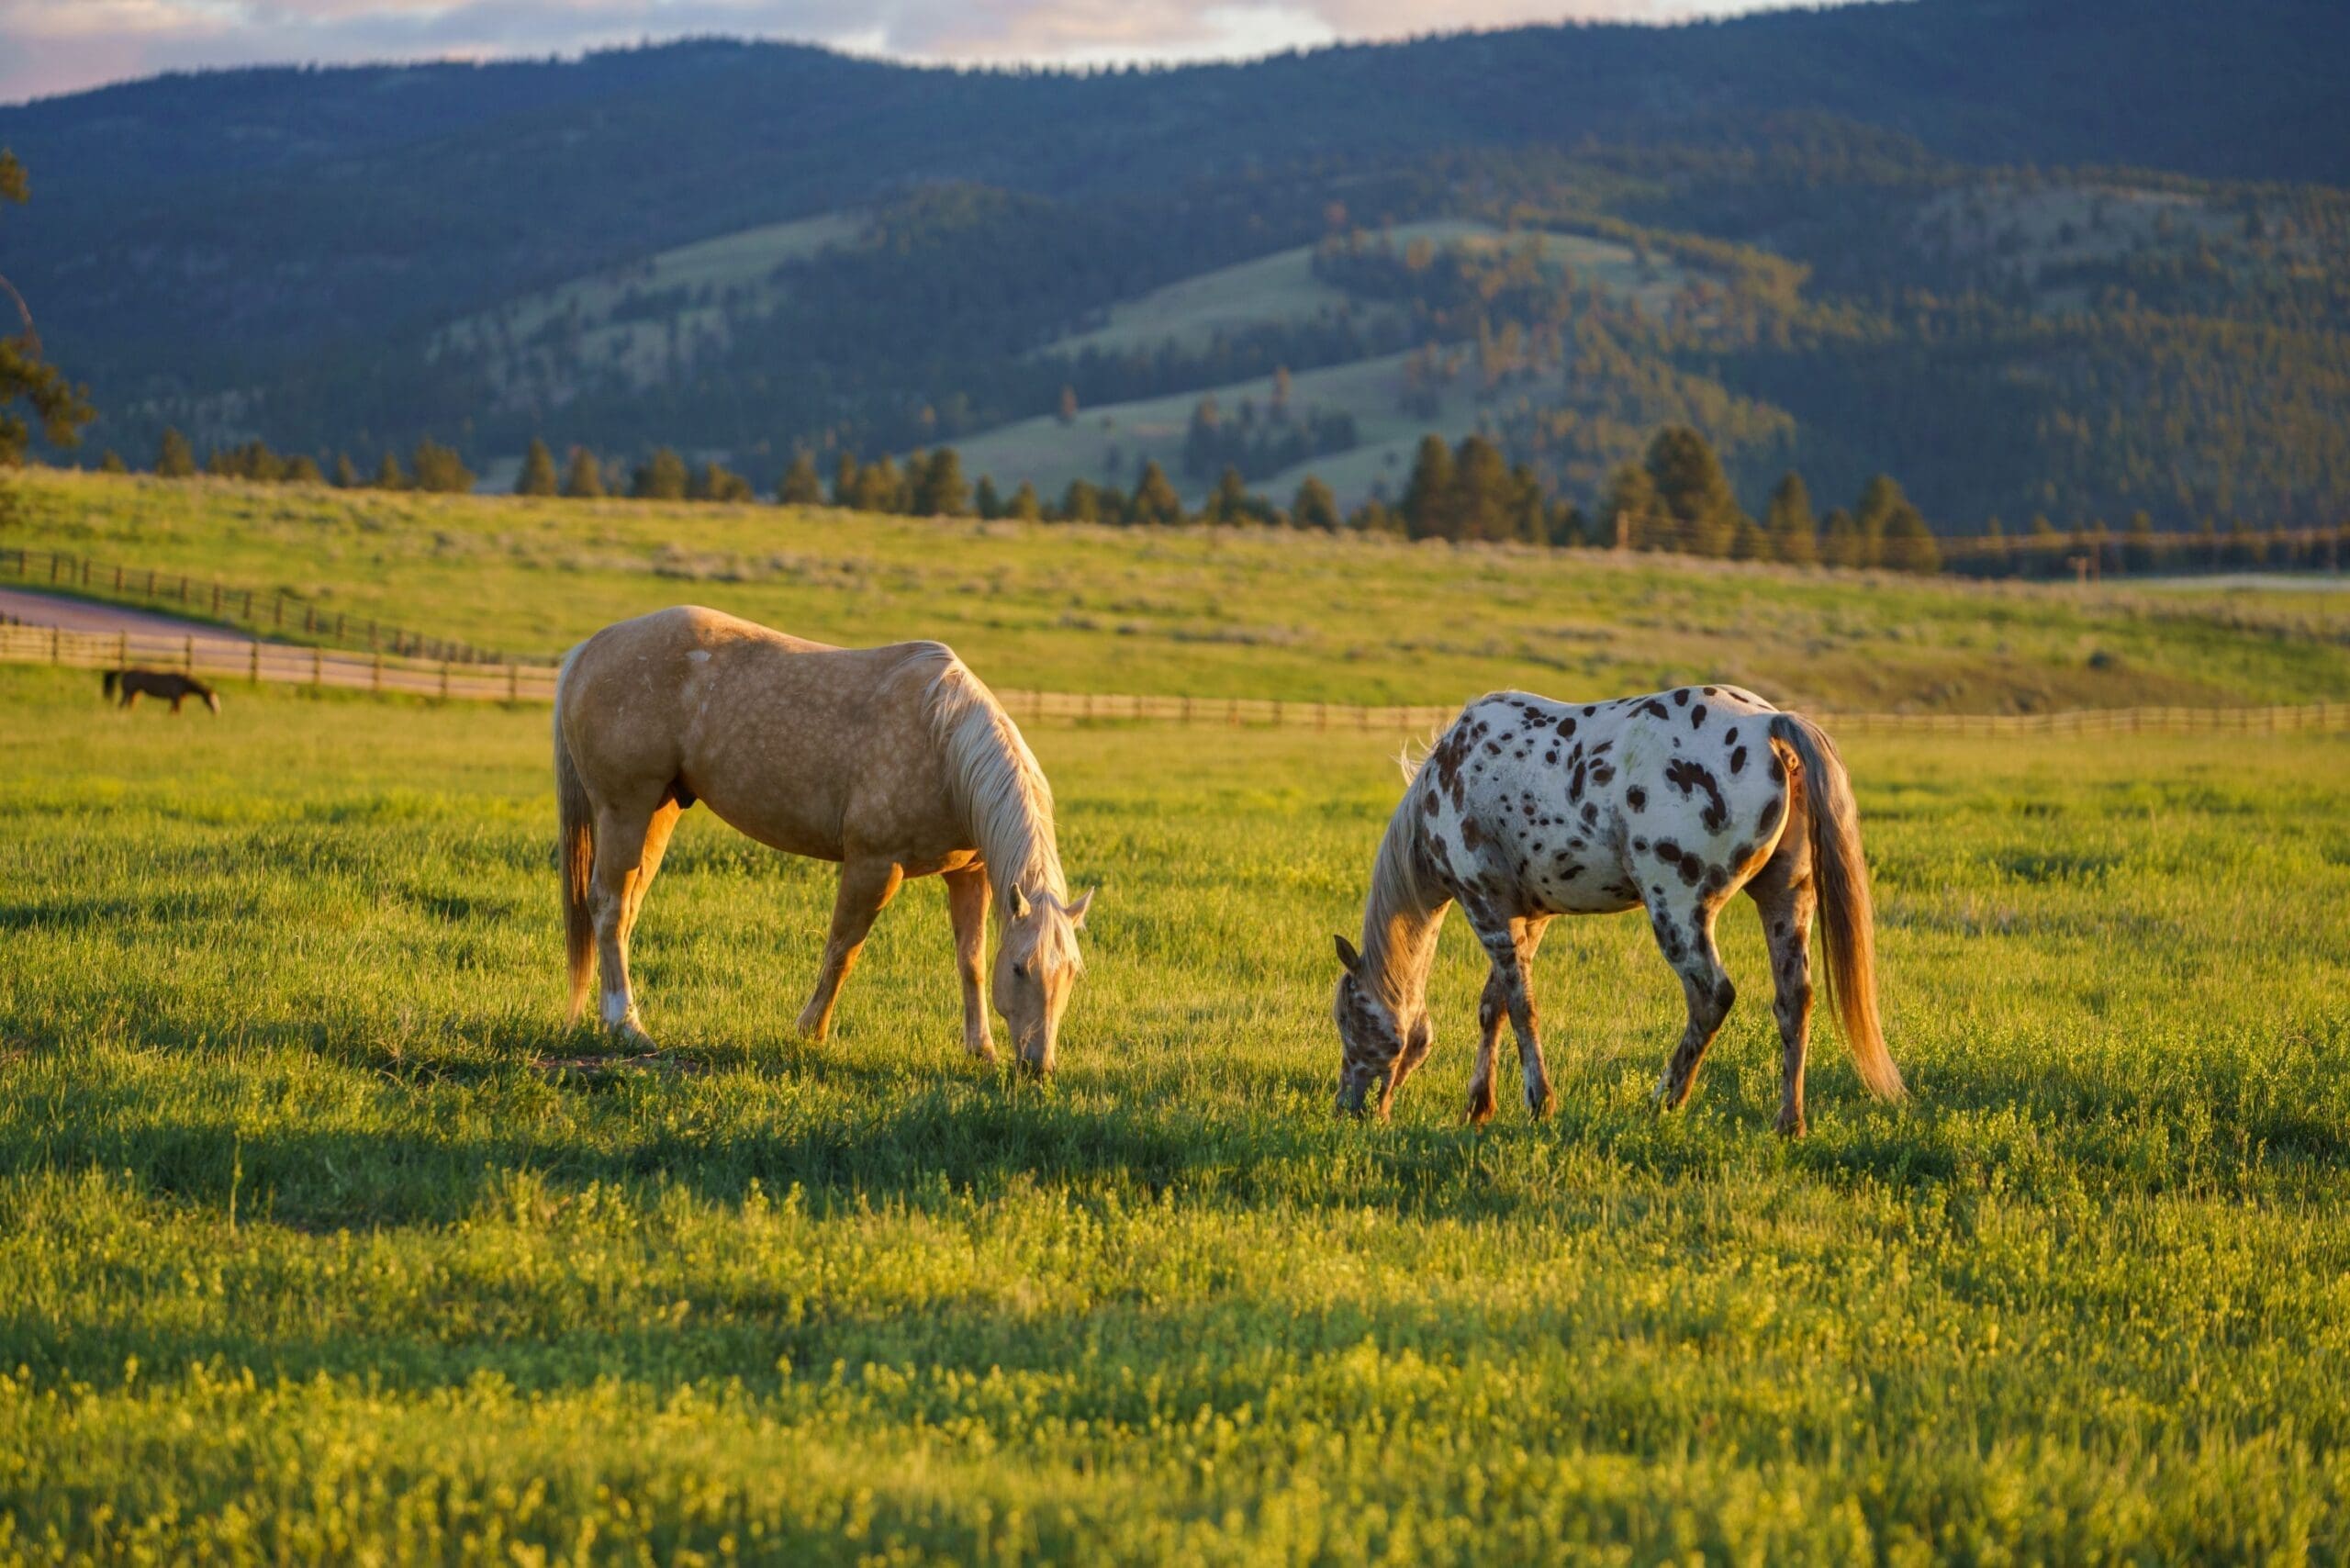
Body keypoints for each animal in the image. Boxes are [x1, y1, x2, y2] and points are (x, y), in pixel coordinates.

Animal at [102, 668, 221, 715]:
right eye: (211, 700)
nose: (217, 712)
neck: (184, 682)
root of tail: (125, 671)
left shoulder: (175, 700)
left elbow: (172, 712)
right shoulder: (176, 699)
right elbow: (176, 712)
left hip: (135, 693)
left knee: (130, 705)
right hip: (128, 692)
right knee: (121, 705)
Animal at [553, 606, 1094, 1072]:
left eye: (1072, 972)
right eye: (1021, 969)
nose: (1038, 1065)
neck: (944, 742)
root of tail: (590, 648)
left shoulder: (969, 874)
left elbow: (972, 961)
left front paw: (981, 1049)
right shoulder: (874, 865)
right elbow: (842, 949)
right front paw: (810, 1031)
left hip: (658, 812)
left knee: (626, 909)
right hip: (624, 809)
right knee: (609, 906)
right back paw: (626, 1025)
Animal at [1333, 684, 1903, 1135]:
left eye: (1346, 1017)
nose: (1347, 1108)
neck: (1453, 776)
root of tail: (1770, 725)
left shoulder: (1485, 906)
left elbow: (1519, 1006)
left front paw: (1539, 1103)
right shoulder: (1529, 917)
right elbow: (1494, 1005)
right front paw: (1479, 1106)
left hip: (1677, 908)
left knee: (1711, 997)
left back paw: (1662, 1101)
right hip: (1786, 898)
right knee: (1794, 1001)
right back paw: (1789, 1122)